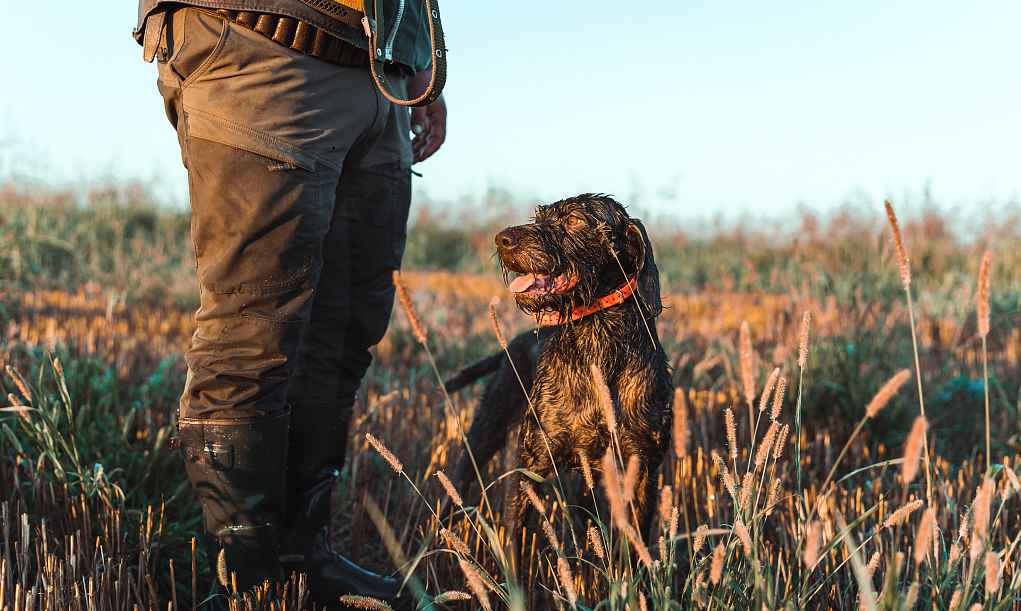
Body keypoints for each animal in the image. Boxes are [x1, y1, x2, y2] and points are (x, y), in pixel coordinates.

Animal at [445, 194, 669, 568]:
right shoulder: (530, 464)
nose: (503, 239)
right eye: (540, 217)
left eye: (575, 221)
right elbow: (516, 543)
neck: (599, 343)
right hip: (487, 429)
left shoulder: (641, 466)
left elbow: (634, 546)